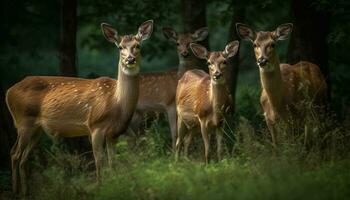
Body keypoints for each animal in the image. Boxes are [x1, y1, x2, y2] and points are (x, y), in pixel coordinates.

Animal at [6, 19, 154, 195]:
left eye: (138, 46)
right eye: (120, 47)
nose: (130, 59)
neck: (116, 102)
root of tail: (8, 92)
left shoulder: (114, 133)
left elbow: (112, 161)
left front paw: (115, 185)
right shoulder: (95, 126)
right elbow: (99, 160)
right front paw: (100, 187)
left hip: (36, 128)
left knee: (22, 157)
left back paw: (25, 191)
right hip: (24, 121)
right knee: (15, 154)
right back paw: (15, 190)